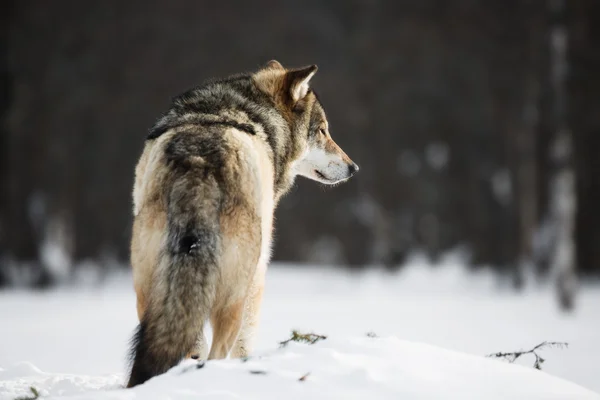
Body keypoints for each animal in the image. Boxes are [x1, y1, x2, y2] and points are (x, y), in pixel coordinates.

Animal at [127, 60, 358, 388]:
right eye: (323, 131)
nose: (354, 168)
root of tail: (199, 160)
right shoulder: (259, 274)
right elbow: (246, 340)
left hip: (148, 288)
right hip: (233, 293)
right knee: (218, 350)